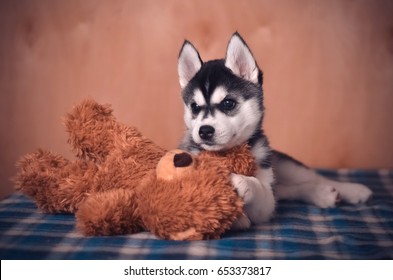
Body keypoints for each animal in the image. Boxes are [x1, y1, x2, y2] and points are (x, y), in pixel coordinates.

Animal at [177, 32, 370, 230]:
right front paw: (236, 217)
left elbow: (259, 188)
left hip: (286, 165)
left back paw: (351, 190)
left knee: (314, 178)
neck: (227, 154)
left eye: (228, 103)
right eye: (194, 107)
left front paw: (239, 181)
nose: (204, 131)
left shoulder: (265, 204)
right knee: (288, 190)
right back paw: (322, 195)